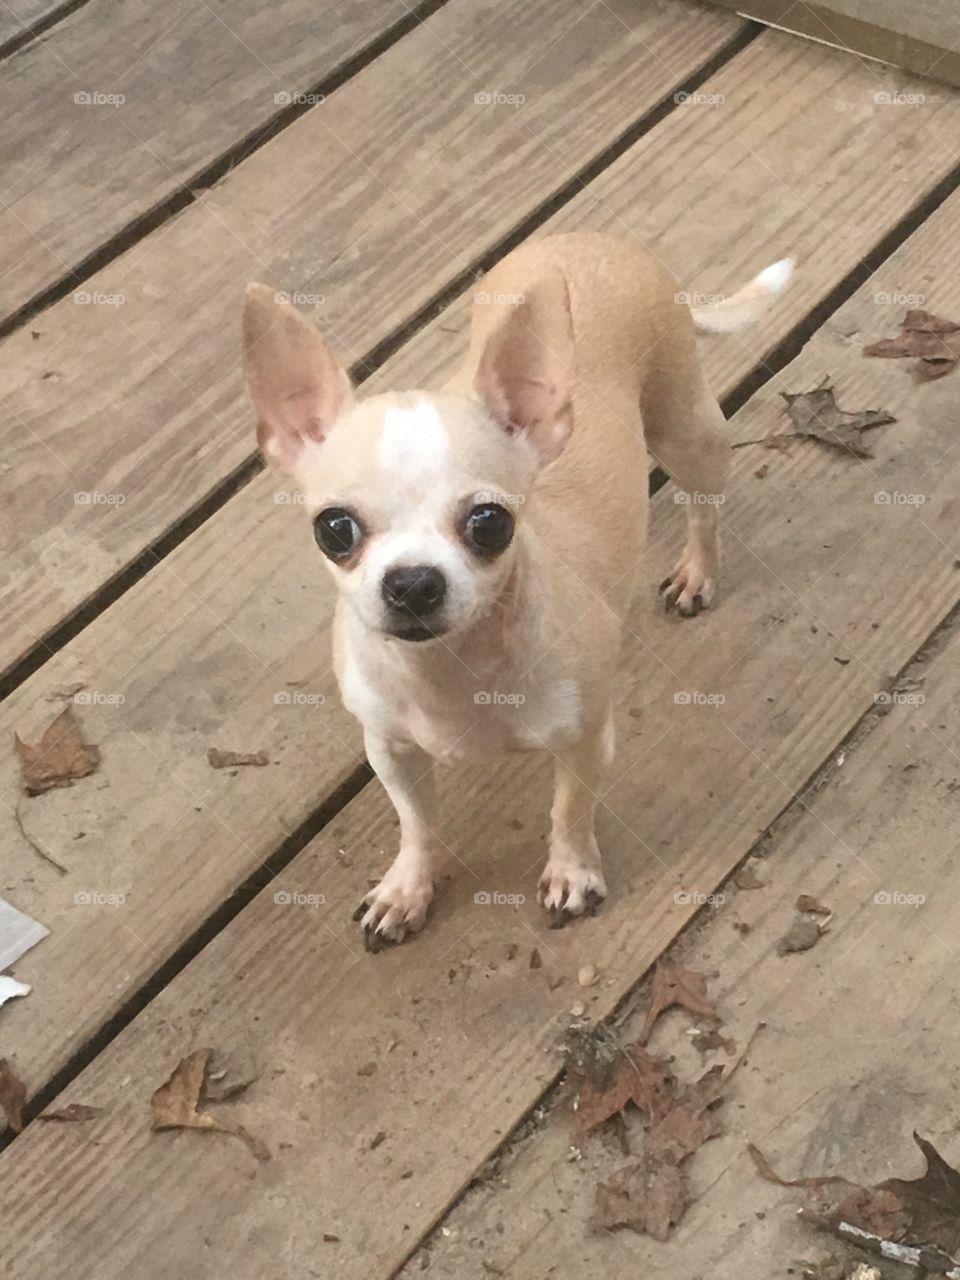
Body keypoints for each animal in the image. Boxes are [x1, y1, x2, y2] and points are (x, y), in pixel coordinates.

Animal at [244, 232, 793, 952]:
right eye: (335, 529)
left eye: (490, 523)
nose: (413, 581)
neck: (450, 670)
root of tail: (593, 239)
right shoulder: (389, 749)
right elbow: (417, 824)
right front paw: (407, 887)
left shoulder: (585, 739)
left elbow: (569, 809)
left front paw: (573, 872)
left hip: (687, 431)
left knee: (704, 509)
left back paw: (697, 572)